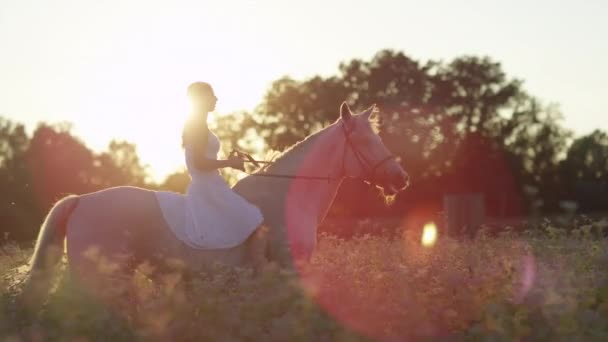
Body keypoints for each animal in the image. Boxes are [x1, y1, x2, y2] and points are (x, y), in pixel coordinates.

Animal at [20, 101, 408, 308]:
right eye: (364, 140)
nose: (400, 179)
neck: (286, 196)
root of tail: (81, 200)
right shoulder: (289, 271)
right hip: (97, 277)